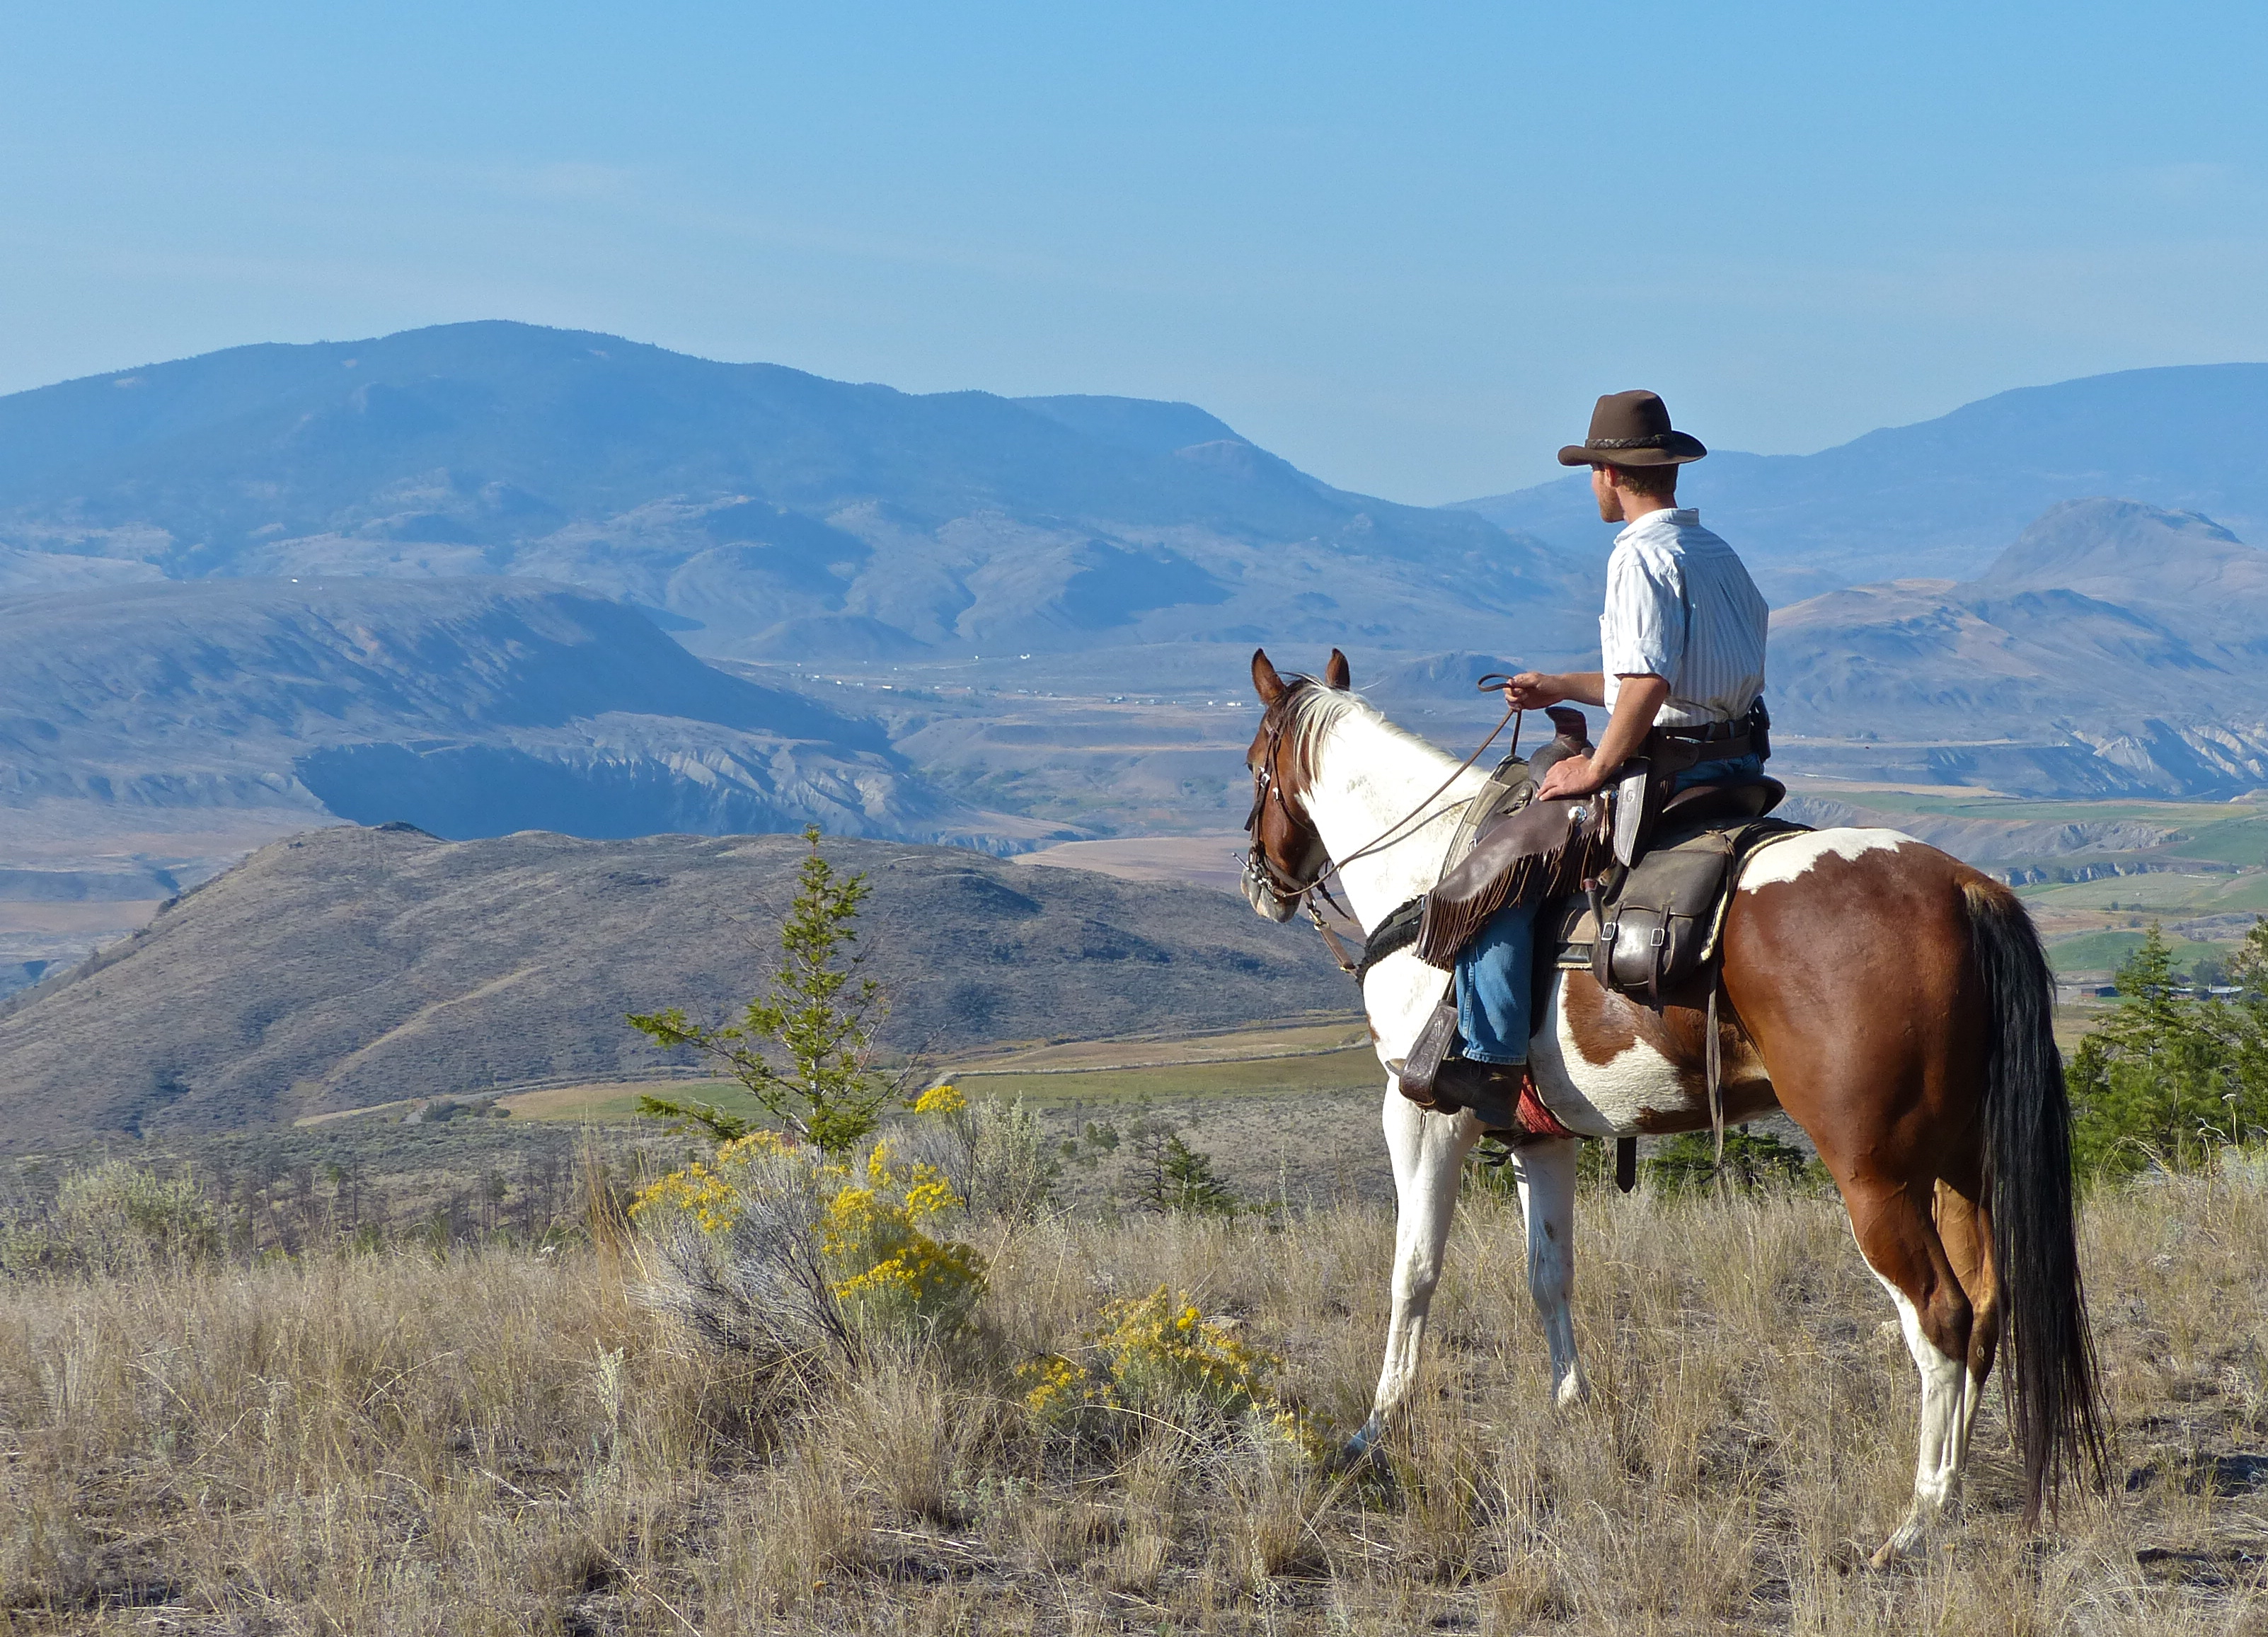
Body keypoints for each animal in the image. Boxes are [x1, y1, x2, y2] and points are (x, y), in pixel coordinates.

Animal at [1239, 647, 2103, 1565]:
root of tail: (1962, 888)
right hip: (1957, 1162)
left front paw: (1374, 1430)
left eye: (1254, 766)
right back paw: (1958, 1490)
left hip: (1875, 1174)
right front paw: (1570, 1406)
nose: (1260, 883)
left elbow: (1413, 1271)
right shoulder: (1538, 1138)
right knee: (1986, 1305)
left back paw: (1919, 1516)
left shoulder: (1423, 1114)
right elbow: (1549, 1272)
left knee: (1939, 1315)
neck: (1427, 871)